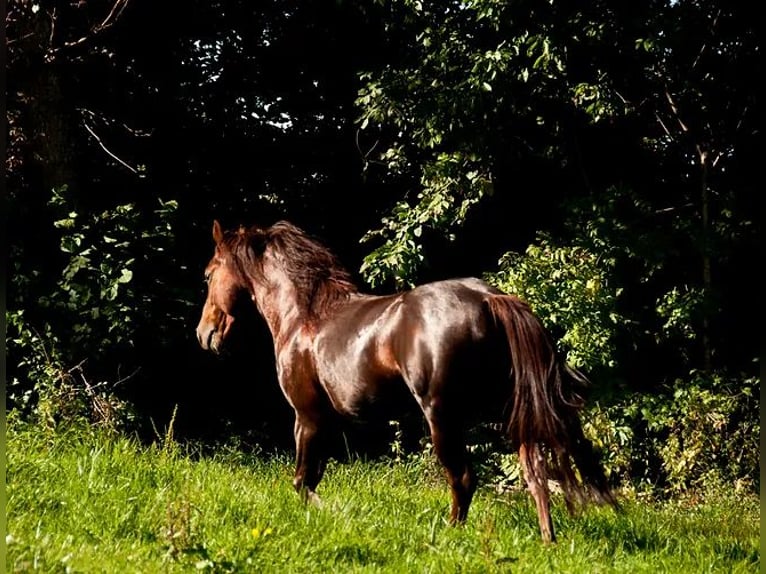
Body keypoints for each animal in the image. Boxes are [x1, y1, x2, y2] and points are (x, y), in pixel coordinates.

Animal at [196, 218, 616, 544]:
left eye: (208, 274)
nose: (205, 334)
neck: (304, 318)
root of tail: (490, 299)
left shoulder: (308, 417)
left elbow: (302, 482)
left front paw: (334, 514)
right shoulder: (325, 421)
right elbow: (310, 479)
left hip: (442, 416)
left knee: (464, 478)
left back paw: (448, 535)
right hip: (509, 410)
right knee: (535, 471)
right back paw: (548, 540)